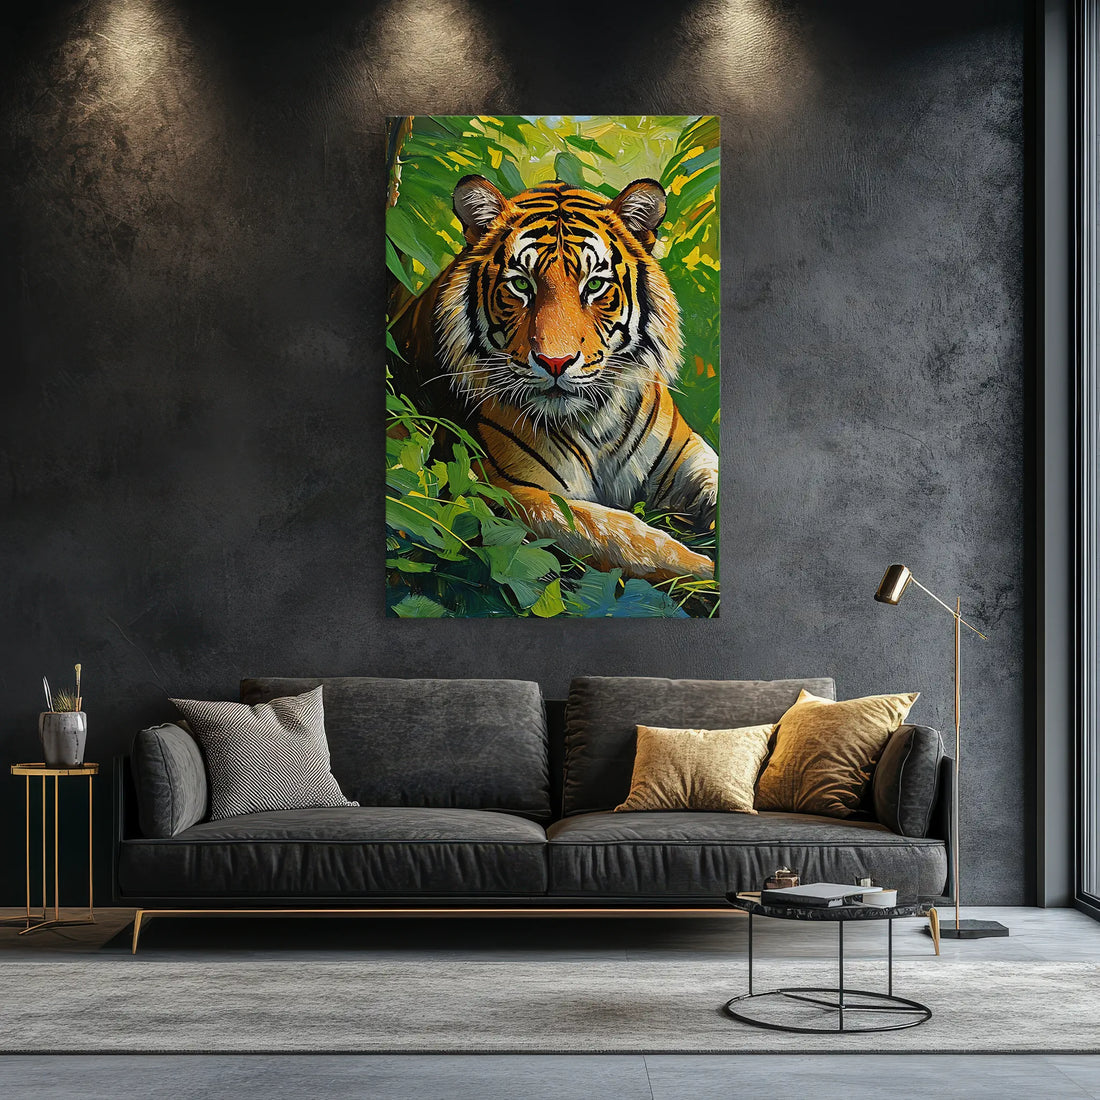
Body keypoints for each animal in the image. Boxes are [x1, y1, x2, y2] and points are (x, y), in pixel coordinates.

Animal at [389, 174, 718, 583]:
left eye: (593, 285)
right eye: (521, 285)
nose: (555, 362)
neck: (597, 423)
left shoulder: (688, 454)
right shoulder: (512, 491)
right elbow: (624, 535)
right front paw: (706, 572)